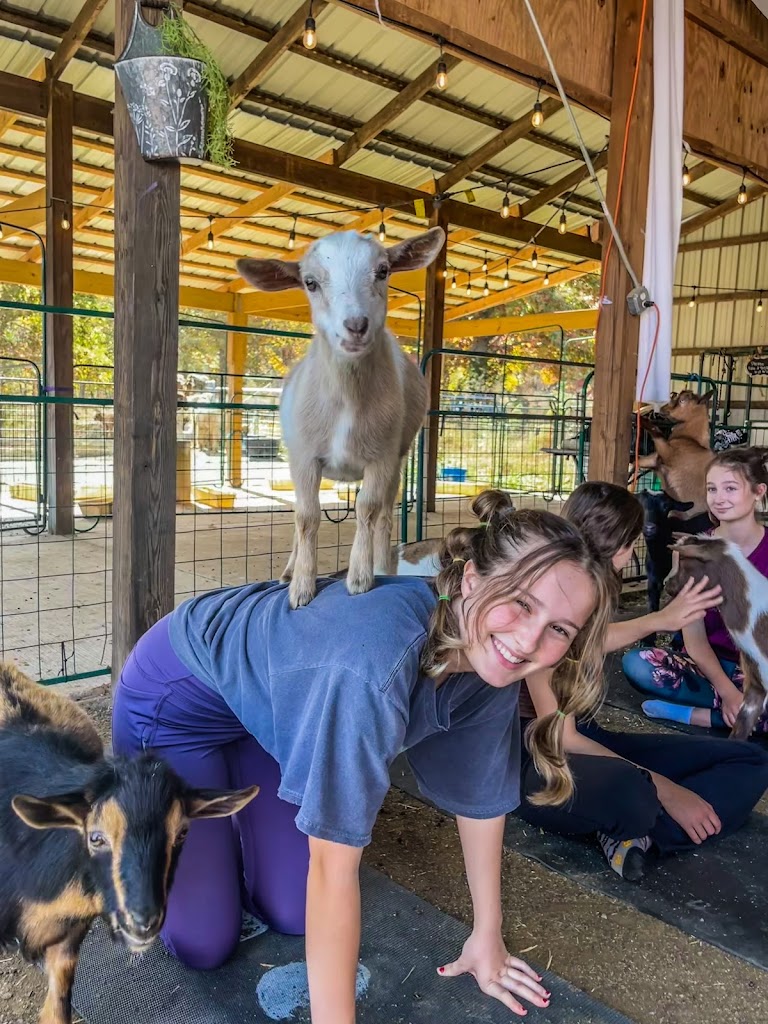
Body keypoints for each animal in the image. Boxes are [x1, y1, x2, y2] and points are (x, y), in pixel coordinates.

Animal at [237, 227, 445, 608]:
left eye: (383, 271)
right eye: (310, 282)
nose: (356, 326)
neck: (347, 400)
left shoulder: (382, 457)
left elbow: (367, 510)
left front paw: (361, 577)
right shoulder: (304, 457)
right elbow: (306, 518)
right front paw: (300, 587)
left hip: (397, 460)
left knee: (385, 516)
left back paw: (383, 565)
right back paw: (288, 571)